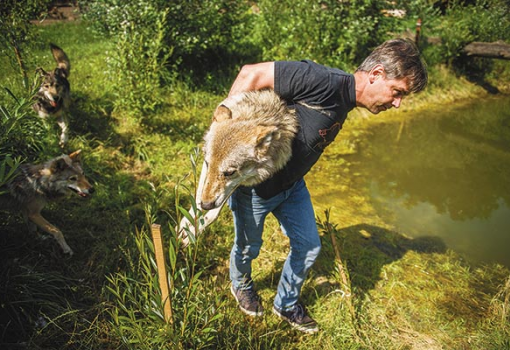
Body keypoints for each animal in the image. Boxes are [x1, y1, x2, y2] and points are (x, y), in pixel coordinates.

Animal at [179, 89, 298, 245]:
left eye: (229, 173)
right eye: (207, 163)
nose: (206, 205)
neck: (254, 115)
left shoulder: (241, 180)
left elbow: (213, 213)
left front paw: (194, 230)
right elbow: (198, 195)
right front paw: (187, 223)